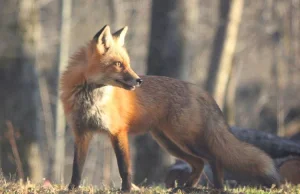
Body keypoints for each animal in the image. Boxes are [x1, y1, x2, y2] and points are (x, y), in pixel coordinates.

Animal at [61, 25, 282, 192]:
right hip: (169, 143)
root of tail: (198, 89)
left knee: (214, 158)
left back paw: (217, 187)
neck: (90, 97)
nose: (138, 80)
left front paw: (126, 190)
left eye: (128, 64)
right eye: (118, 64)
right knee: (199, 163)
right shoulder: (81, 133)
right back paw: (186, 187)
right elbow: (76, 168)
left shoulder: (118, 132)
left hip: (185, 139)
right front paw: (72, 189)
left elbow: (124, 168)